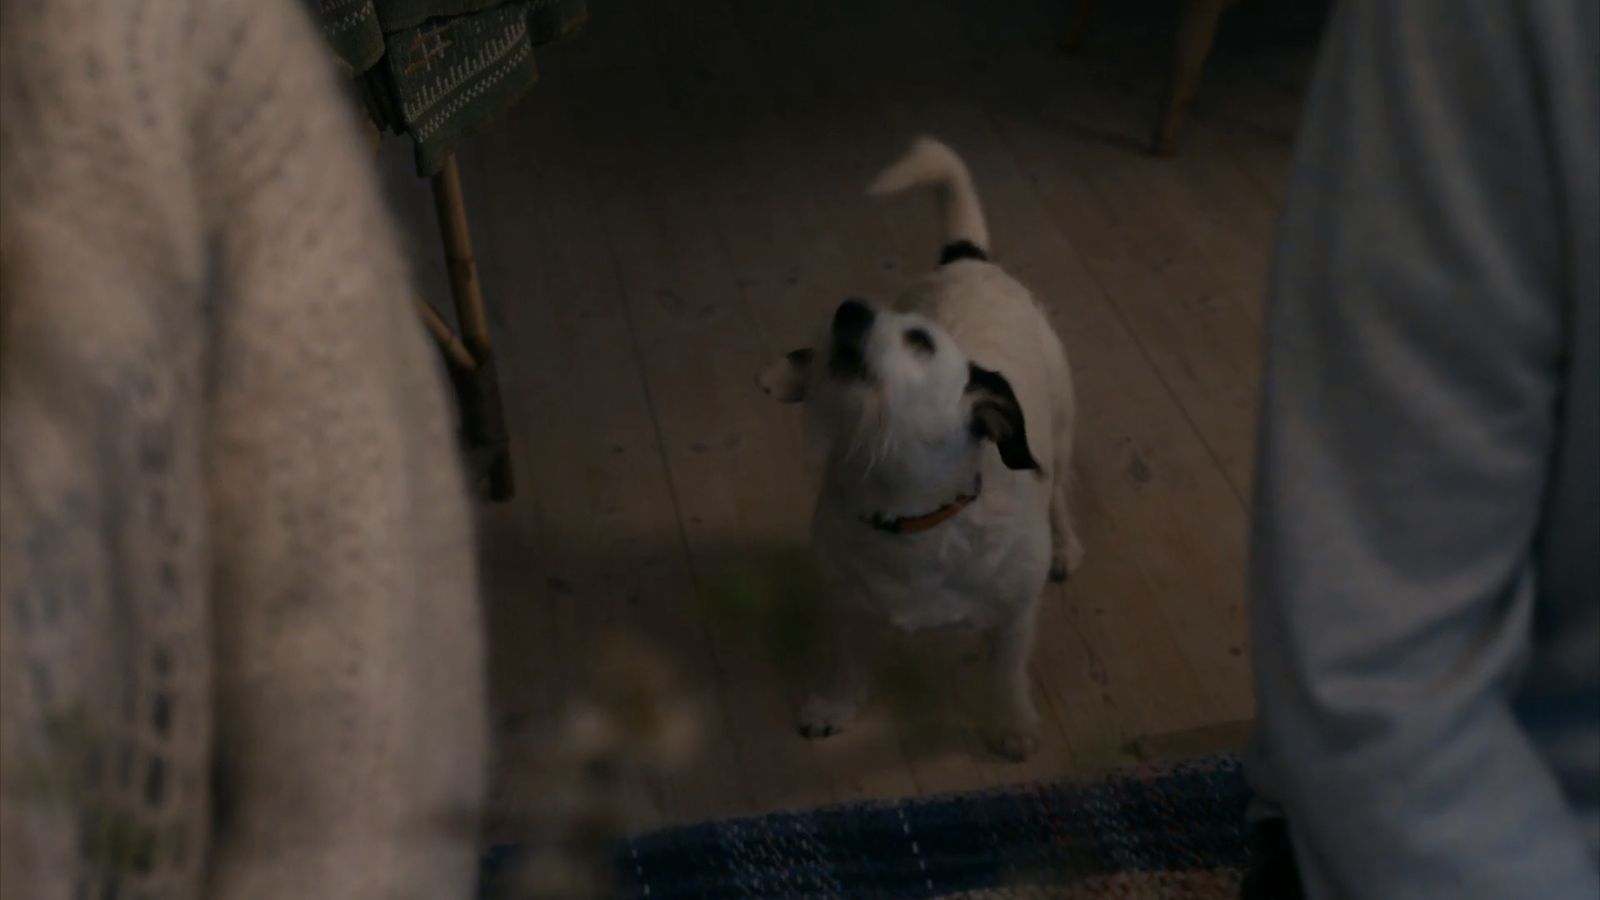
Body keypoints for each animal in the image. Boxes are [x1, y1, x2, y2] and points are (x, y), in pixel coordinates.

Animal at [755, 138, 1081, 755]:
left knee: (1058, 496)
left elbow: (1006, 670)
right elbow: (846, 661)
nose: (850, 308)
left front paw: (1011, 725)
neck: (908, 512)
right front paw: (835, 705)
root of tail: (969, 261)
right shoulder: (847, 602)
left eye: (921, 341)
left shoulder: (1014, 616)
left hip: (1062, 430)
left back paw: (1068, 546)